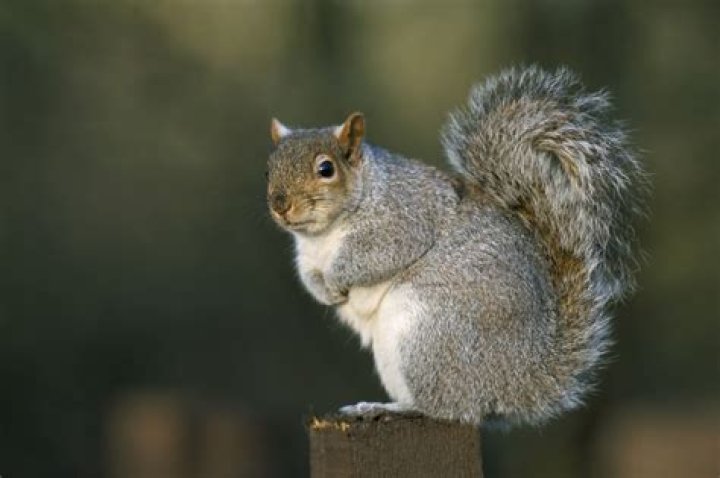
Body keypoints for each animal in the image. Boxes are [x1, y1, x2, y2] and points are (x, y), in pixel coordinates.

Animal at [266, 66, 648, 426]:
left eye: (326, 169)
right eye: (269, 167)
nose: (279, 204)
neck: (323, 235)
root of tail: (518, 380)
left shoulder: (403, 220)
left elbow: (374, 256)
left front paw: (337, 279)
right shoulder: (306, 255)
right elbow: (308, 276)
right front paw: (324, 291)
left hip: (428, 335)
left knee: (448, 409)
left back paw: (386, 407)